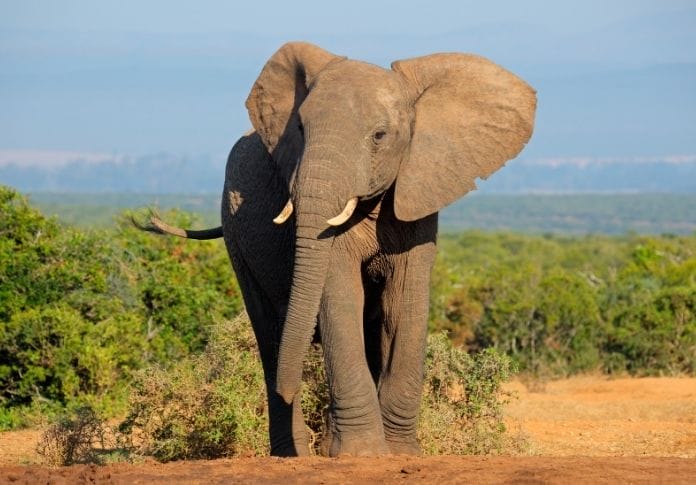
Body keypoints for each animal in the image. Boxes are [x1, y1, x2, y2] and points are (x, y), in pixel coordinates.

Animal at [138, 41, 536, 457]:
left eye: (379, 135)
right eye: (299, 128)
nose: (289, 387)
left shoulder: (418, 193)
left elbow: (404, 302)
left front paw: (399, 453)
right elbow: (340, 294)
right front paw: (361, 454)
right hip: (235, 232)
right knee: (269, 332)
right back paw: (292, 452)